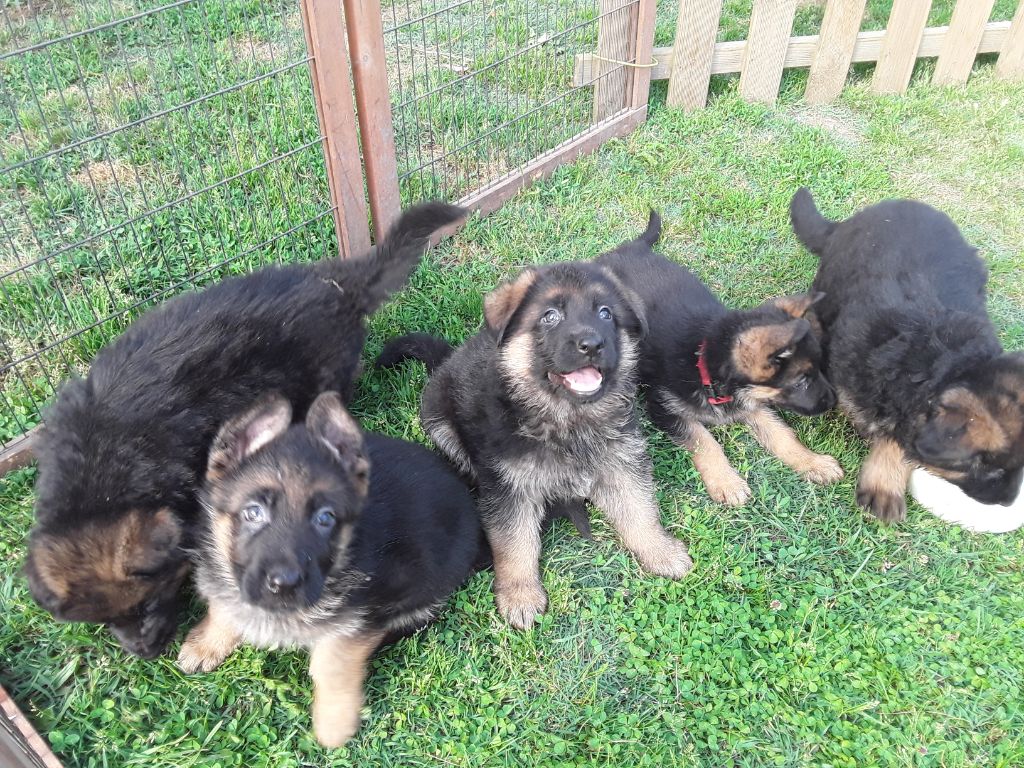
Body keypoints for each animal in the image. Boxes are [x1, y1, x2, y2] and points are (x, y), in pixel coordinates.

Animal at [176, 393, 479, 749]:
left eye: (325, 518)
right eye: (253, 512)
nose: (284, 584)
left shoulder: (362, 616)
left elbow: (332, 664)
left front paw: (335, 720)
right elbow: (225, 607)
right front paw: (207, 643)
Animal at [598, 214, 839, 507]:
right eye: (802, 380)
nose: (834, 401)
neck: (703, 359)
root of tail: (628, 249)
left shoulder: (753, 401)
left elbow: (781, 434)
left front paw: (813, 462)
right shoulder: (663, 407)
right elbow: (705, 440)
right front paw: (726, 481)